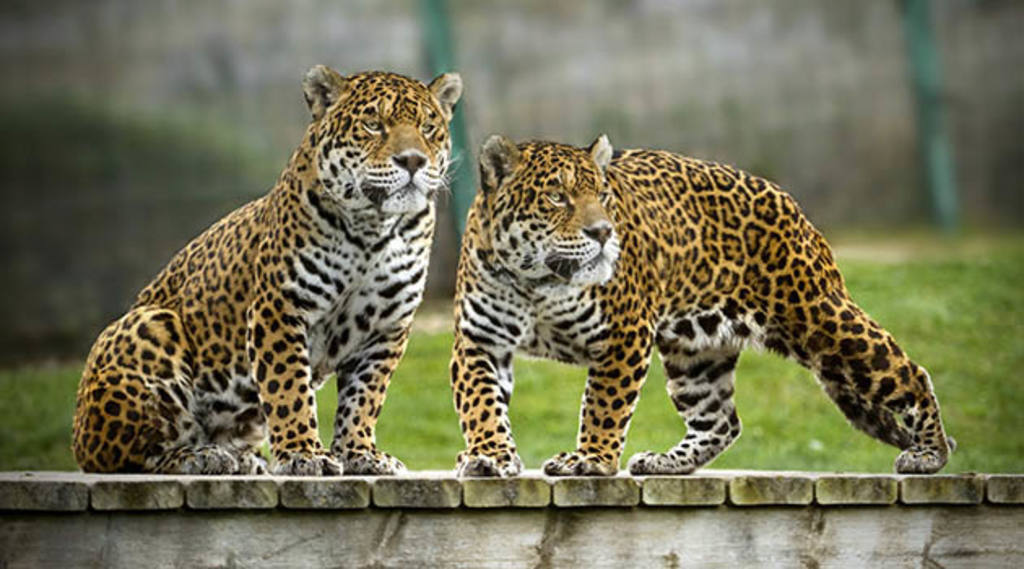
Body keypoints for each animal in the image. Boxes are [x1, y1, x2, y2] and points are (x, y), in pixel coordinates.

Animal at [71, 65, 463, 475]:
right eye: (373, 124)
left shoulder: (386, 326)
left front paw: (360, 453)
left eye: (428, 127)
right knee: (131, 457)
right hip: (150, 326)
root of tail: (79, 434)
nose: (413, 161)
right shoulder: (280, 308)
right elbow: (288, 386)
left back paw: (241, 459)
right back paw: (200, 457)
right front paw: (304, 454)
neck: (372, 228)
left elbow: (365, 398)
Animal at [450, 134, 954, 477]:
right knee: (721, 421)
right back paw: (664, 461)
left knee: (909, 372)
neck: (536, 281)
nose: (603, 232)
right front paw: (489, 455)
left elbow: (603, 405)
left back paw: (929, 453)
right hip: (696, 354)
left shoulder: (624, 336)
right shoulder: (479, 341)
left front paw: (590, 459)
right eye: (557, 196)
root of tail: (788, 200)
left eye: (603, 196)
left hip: (820, 320)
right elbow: (480, 402)